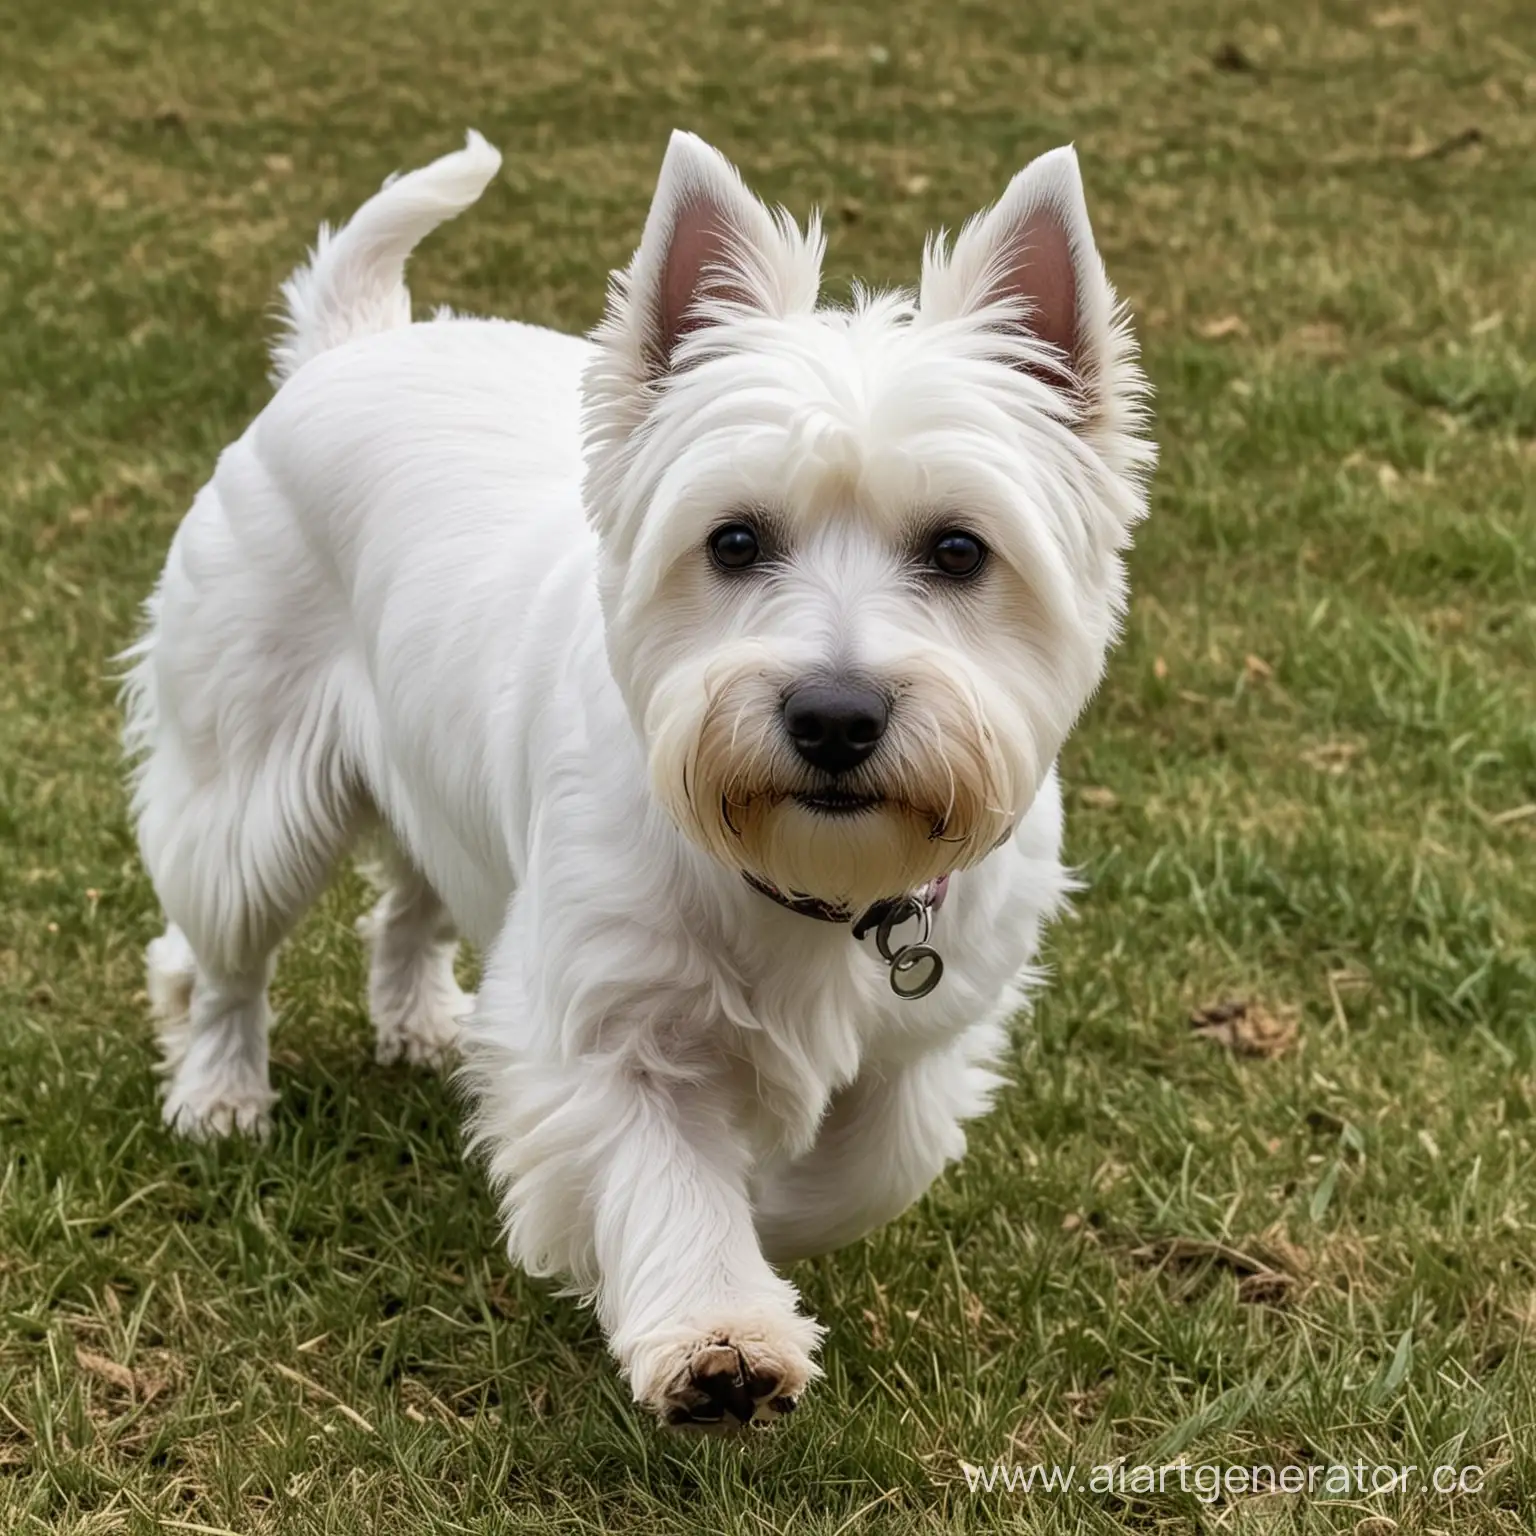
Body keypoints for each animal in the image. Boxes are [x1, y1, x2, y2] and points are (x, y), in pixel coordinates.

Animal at [122, 132, 1155, 1425]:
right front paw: (719, 1332)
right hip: (253, 792)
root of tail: (350, 342)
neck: (807, 884)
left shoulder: (930, 1032)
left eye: (961, 550)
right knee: (219, 953)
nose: (834, 716)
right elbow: (665, 1171)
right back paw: (219, 1094)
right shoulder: (610, 1022)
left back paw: (418, 1024)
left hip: (432, 779)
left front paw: (769, 1222)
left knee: (406, 902)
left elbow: (871, 1166)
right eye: (734, 541)